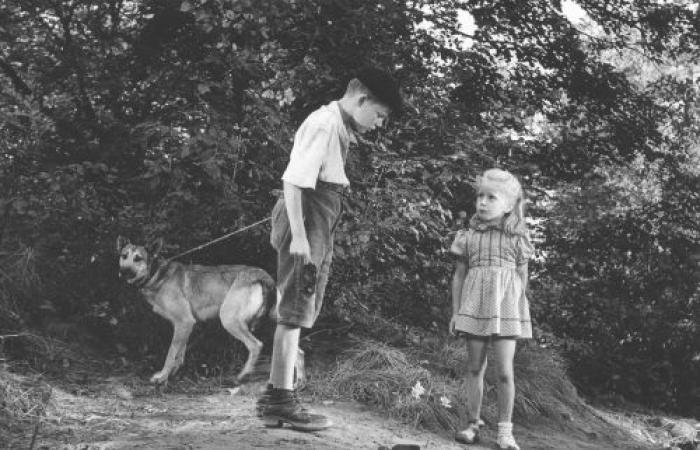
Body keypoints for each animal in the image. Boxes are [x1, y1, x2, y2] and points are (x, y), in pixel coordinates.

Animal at [117, 236, 304, 386]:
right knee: (298, 352)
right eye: (124, 256)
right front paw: (173, 374)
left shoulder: (184, 322)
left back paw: (242, 376)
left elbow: (171, 354)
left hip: (230, 320)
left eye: (138, 258)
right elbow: (179, 354)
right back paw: (299, 384)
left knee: (256, 345)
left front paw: (162, 377)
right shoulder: (185, 325)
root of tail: (264, 276)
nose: (123, 272)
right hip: (274, 322)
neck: (157, 274)